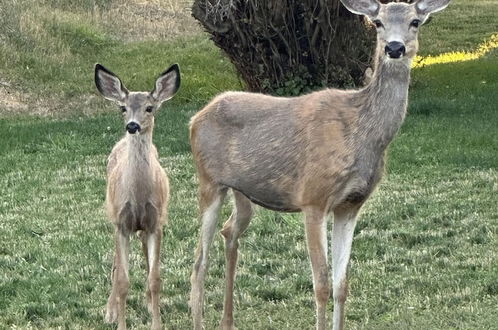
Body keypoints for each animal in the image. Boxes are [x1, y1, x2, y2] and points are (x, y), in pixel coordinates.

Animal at [94, 62, 180, 330]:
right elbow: (123, 280)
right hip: (113, 215)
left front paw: (156, 322)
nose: (132, 126)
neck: (139, 196)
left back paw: (148, 304)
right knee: (115, 264)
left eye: (149, 108)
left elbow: (155, 279)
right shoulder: (121, 223)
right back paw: (110, 310)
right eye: (123, 108)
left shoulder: (156, 223)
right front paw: (119, 322)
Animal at [189, 0, 450, 328]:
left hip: (243, 192)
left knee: (229, 234)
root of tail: (195, 118)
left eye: (415, 22)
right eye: (377, 22)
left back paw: (228, 321)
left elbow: (342, 285)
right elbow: (322, 285)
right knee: (199, 260)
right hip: (208, 181)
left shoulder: (350, 205)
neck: (360, 134)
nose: (394, 47)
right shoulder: (313, 199)